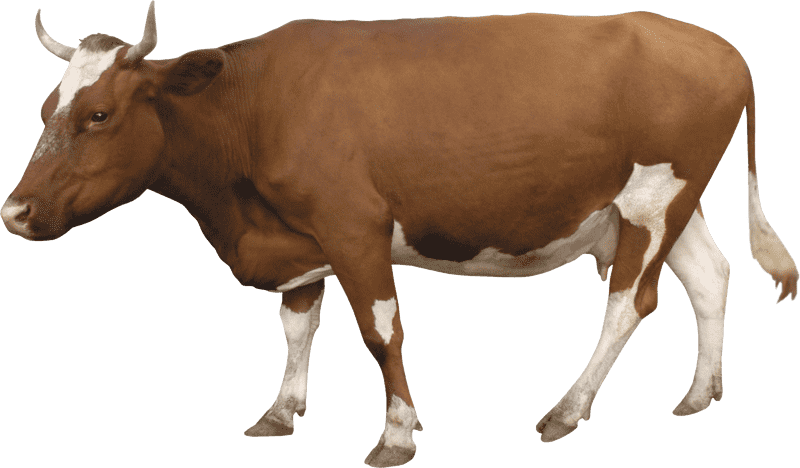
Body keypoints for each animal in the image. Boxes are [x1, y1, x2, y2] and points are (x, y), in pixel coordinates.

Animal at [2, 1, 798, 466]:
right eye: (46, 109)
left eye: (99, 114)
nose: (13, 211)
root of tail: (716, 45)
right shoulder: (297, 240)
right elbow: (298, 324)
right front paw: (281, 411)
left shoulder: (353, 225)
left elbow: (380, 331)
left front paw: (396, 433)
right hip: (664, 202)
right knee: (711, 277)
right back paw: (700, 393)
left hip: (653, 200)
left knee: (630, 301)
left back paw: (567, 412)